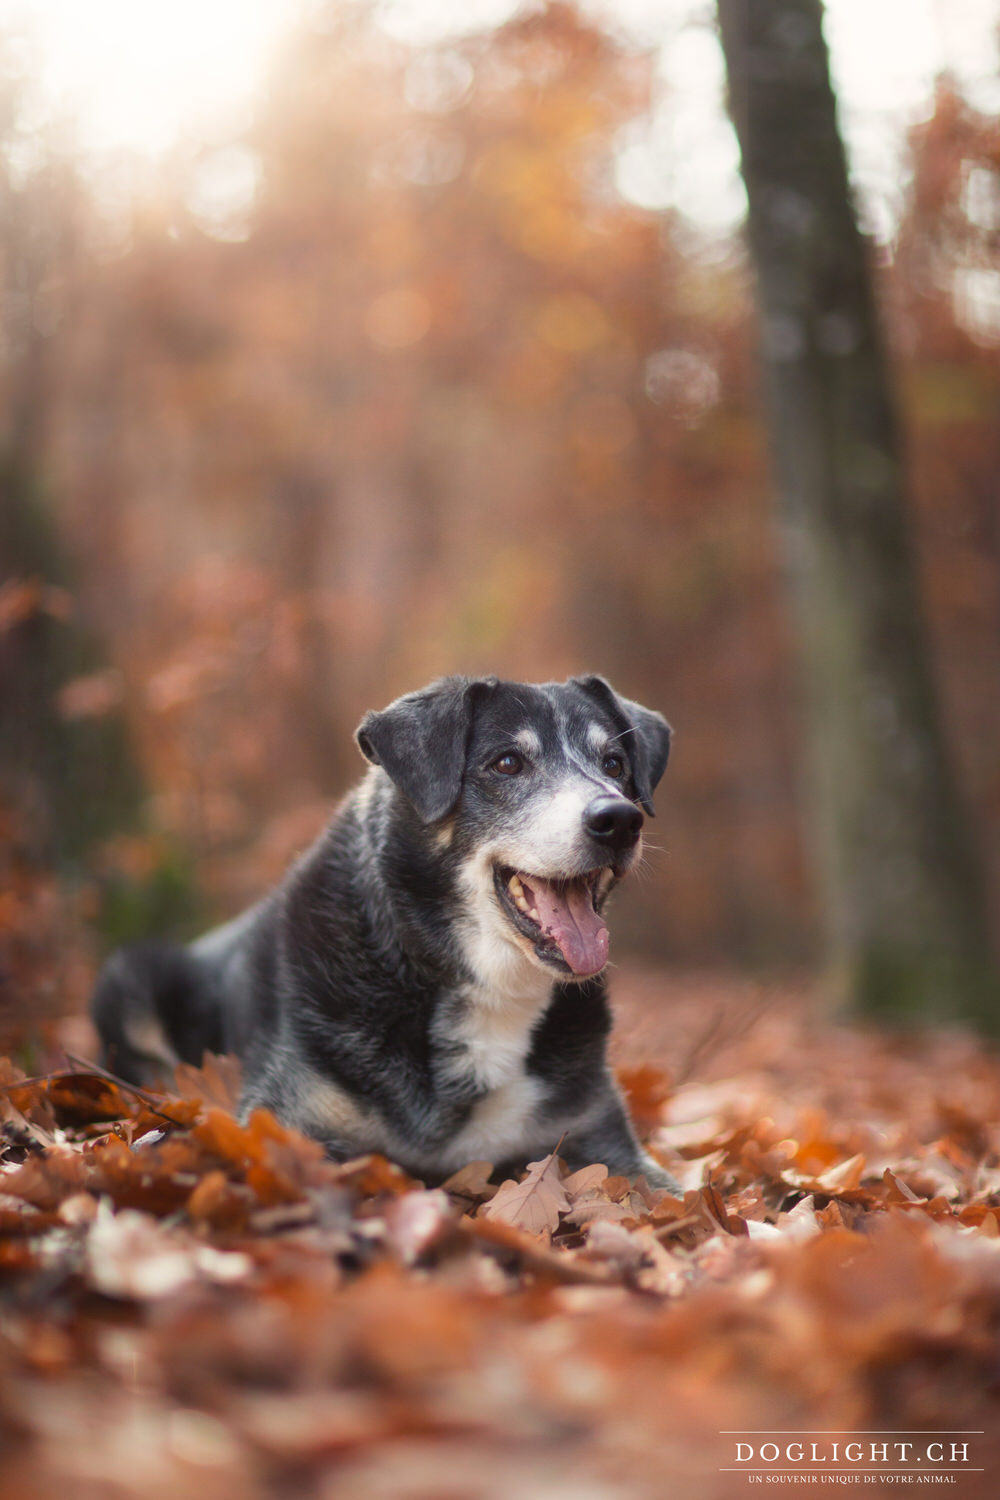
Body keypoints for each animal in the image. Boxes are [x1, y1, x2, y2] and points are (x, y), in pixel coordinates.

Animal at [91, 675, 680, 1188]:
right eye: (508, 762)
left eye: (614, 764)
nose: (620, 821)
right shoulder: (289, 1122)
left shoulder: (596, 1135)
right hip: (132, 976)